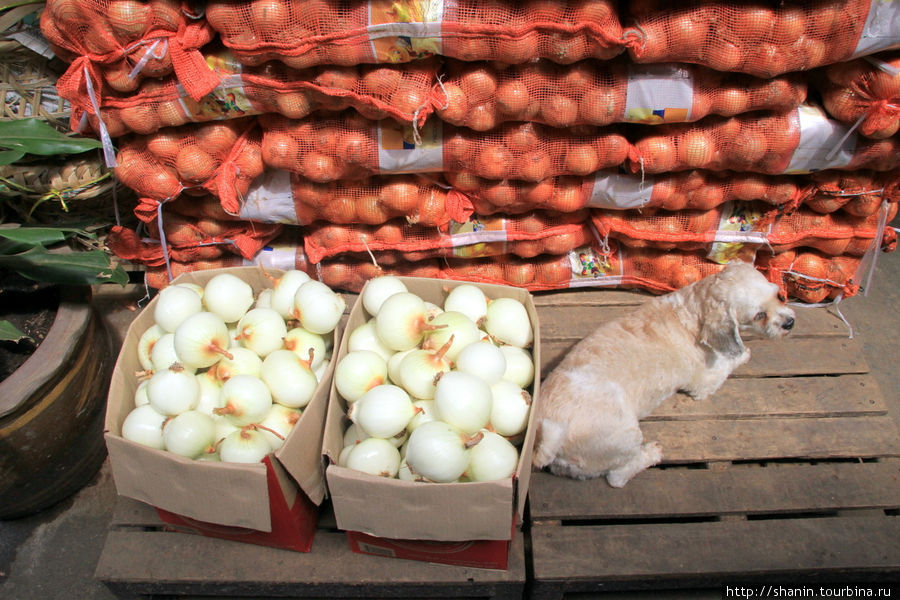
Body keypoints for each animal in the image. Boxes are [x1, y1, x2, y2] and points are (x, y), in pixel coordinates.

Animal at [536, 262, 796, 488]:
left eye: (779, 296)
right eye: (759, 315)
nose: (790, 323)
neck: (692, 311)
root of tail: (554, 436)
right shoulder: (704, 383)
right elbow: (729, 360)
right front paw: (743, 354)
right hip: (624, 436)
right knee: (617, 477)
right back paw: (651, 454)